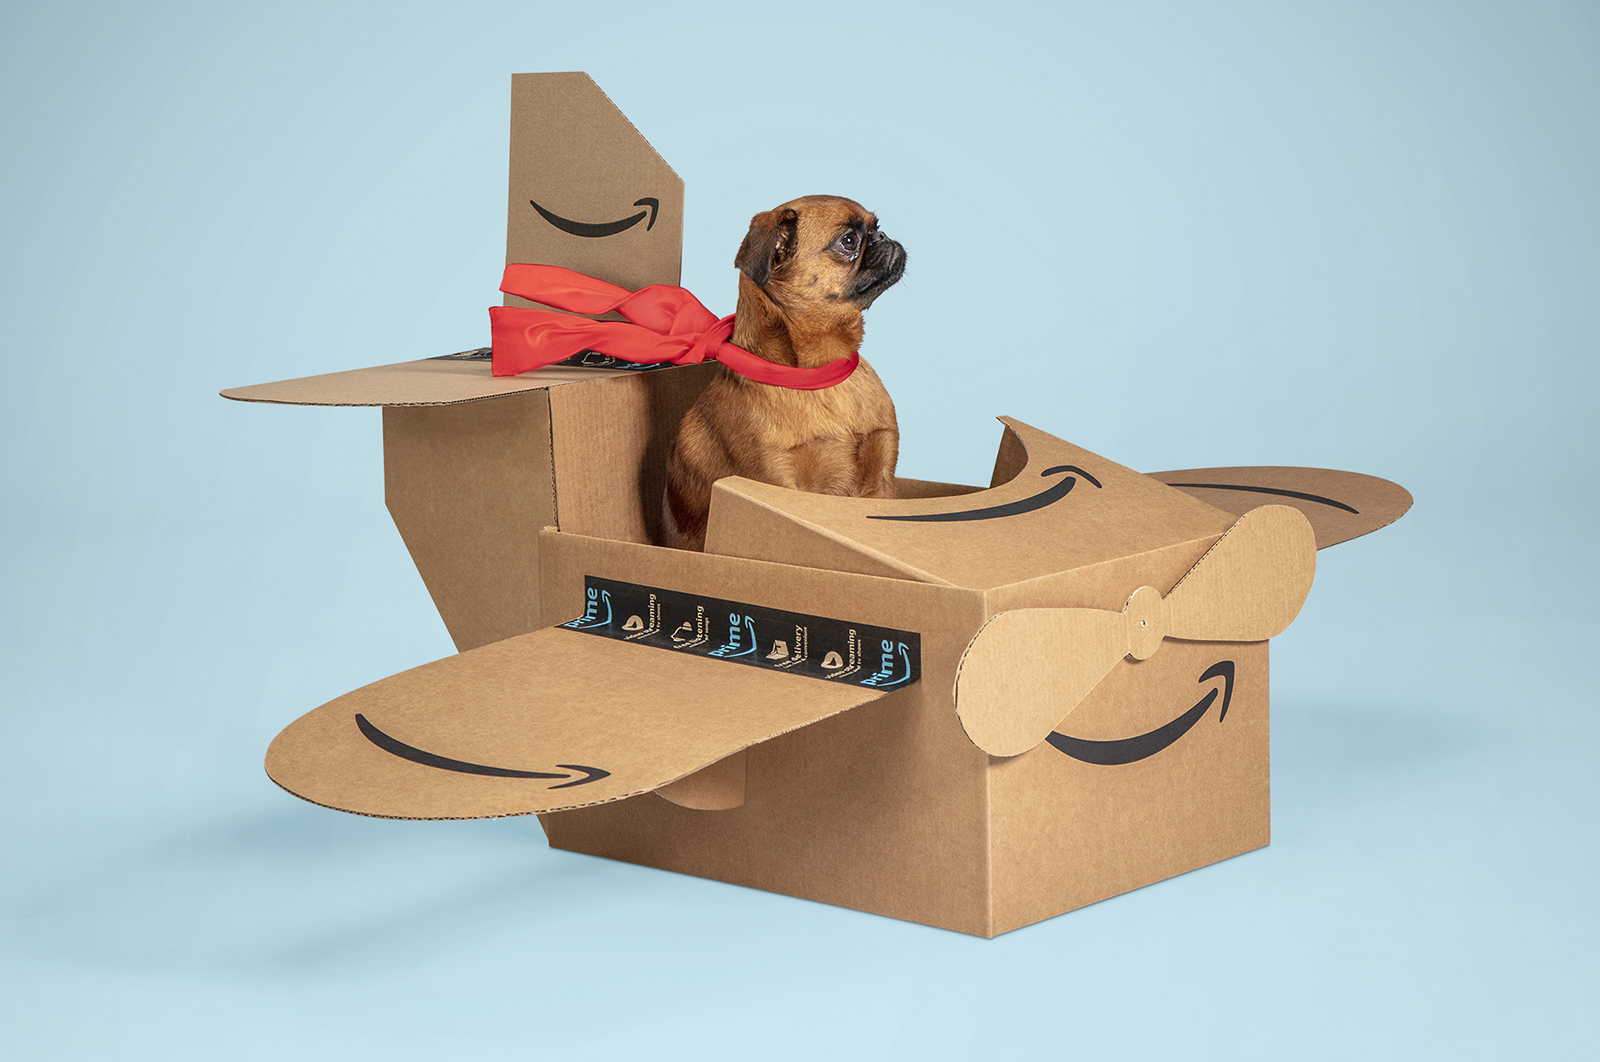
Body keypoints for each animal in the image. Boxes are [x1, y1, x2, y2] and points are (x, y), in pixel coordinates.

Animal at [659, 194, 908, 550]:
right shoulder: (781, 483)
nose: (883, 237)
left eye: (877, 227)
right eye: (848, 241)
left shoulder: (882, 480)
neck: (822, 373)